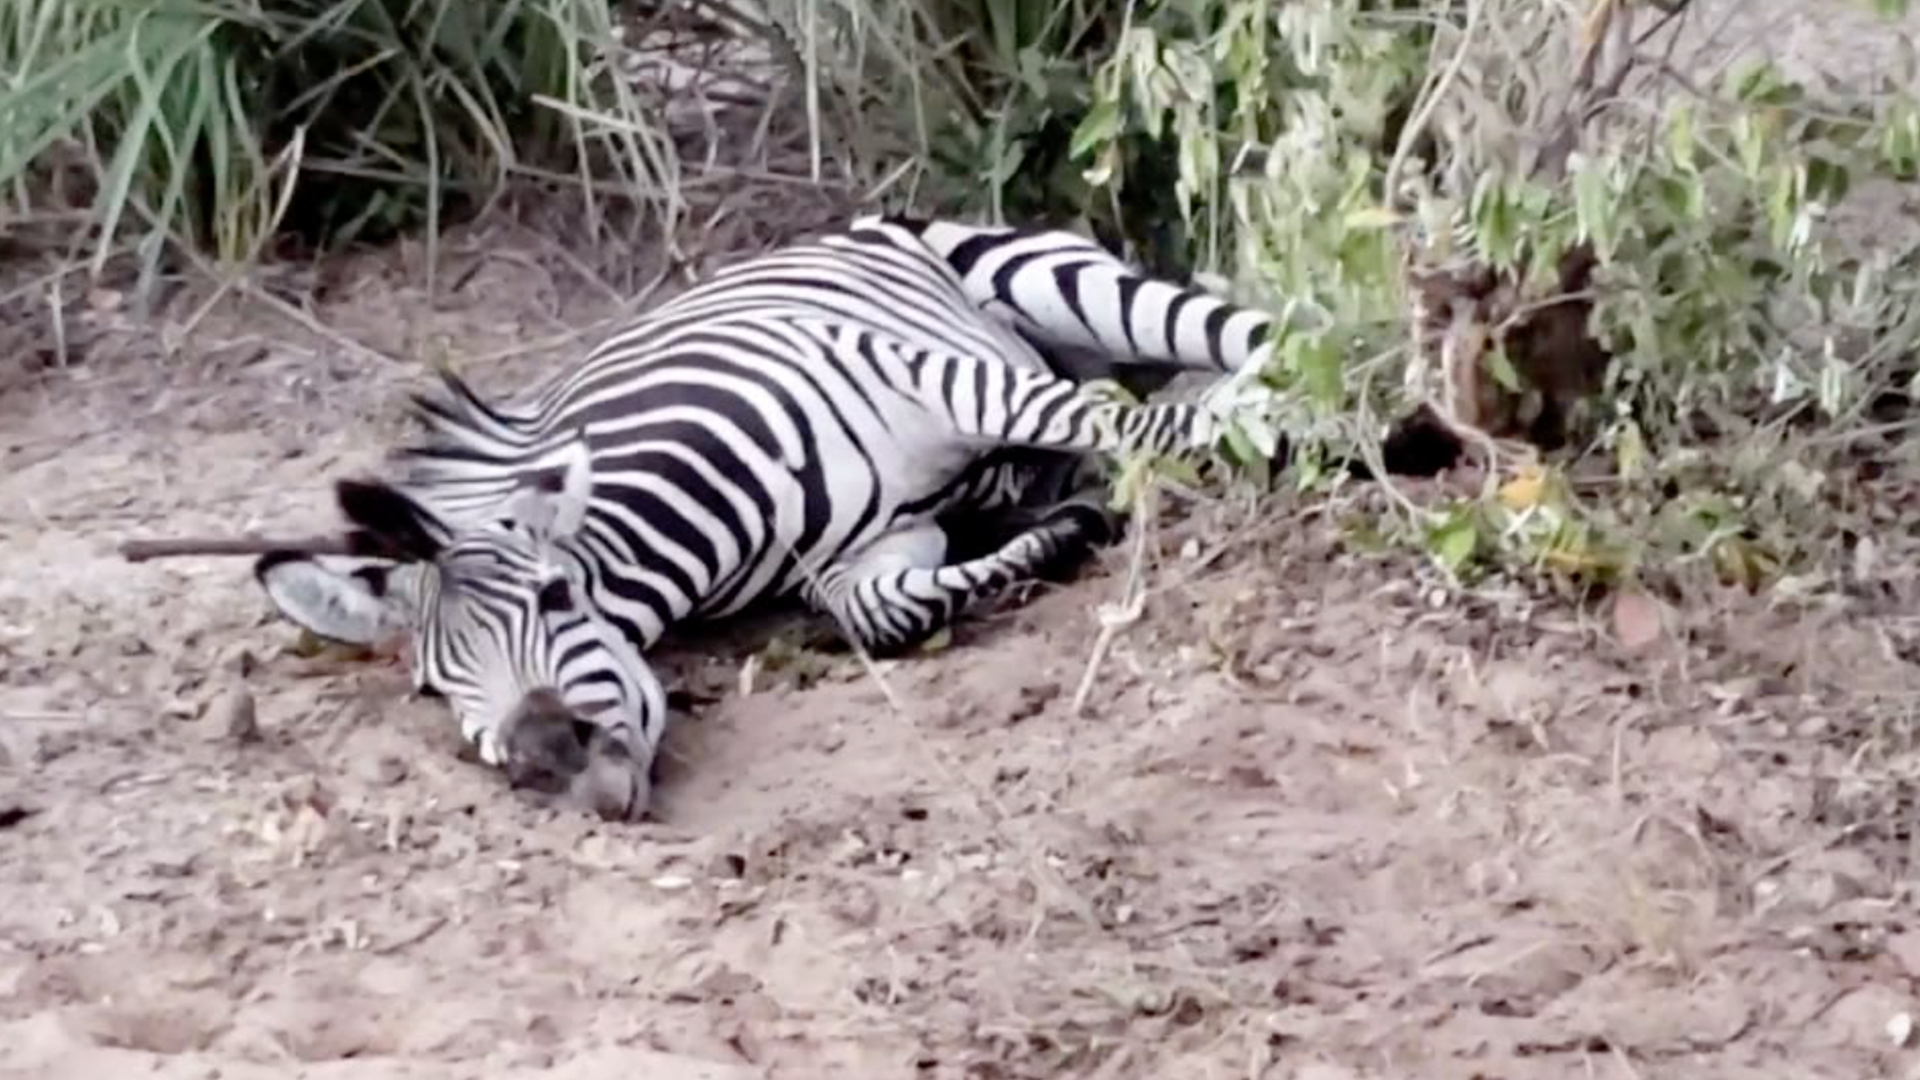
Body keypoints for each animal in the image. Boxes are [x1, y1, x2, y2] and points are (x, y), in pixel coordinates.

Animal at [254, 214, 1282, 819]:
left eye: (555, 600)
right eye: (438, 688)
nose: (550, 765)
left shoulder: (933, 375)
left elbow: (1122, 420)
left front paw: (1259, 427)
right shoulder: (871, 553)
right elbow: (886, 612)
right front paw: (1067, 525)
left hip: (1043, 283)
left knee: (1218, 337)